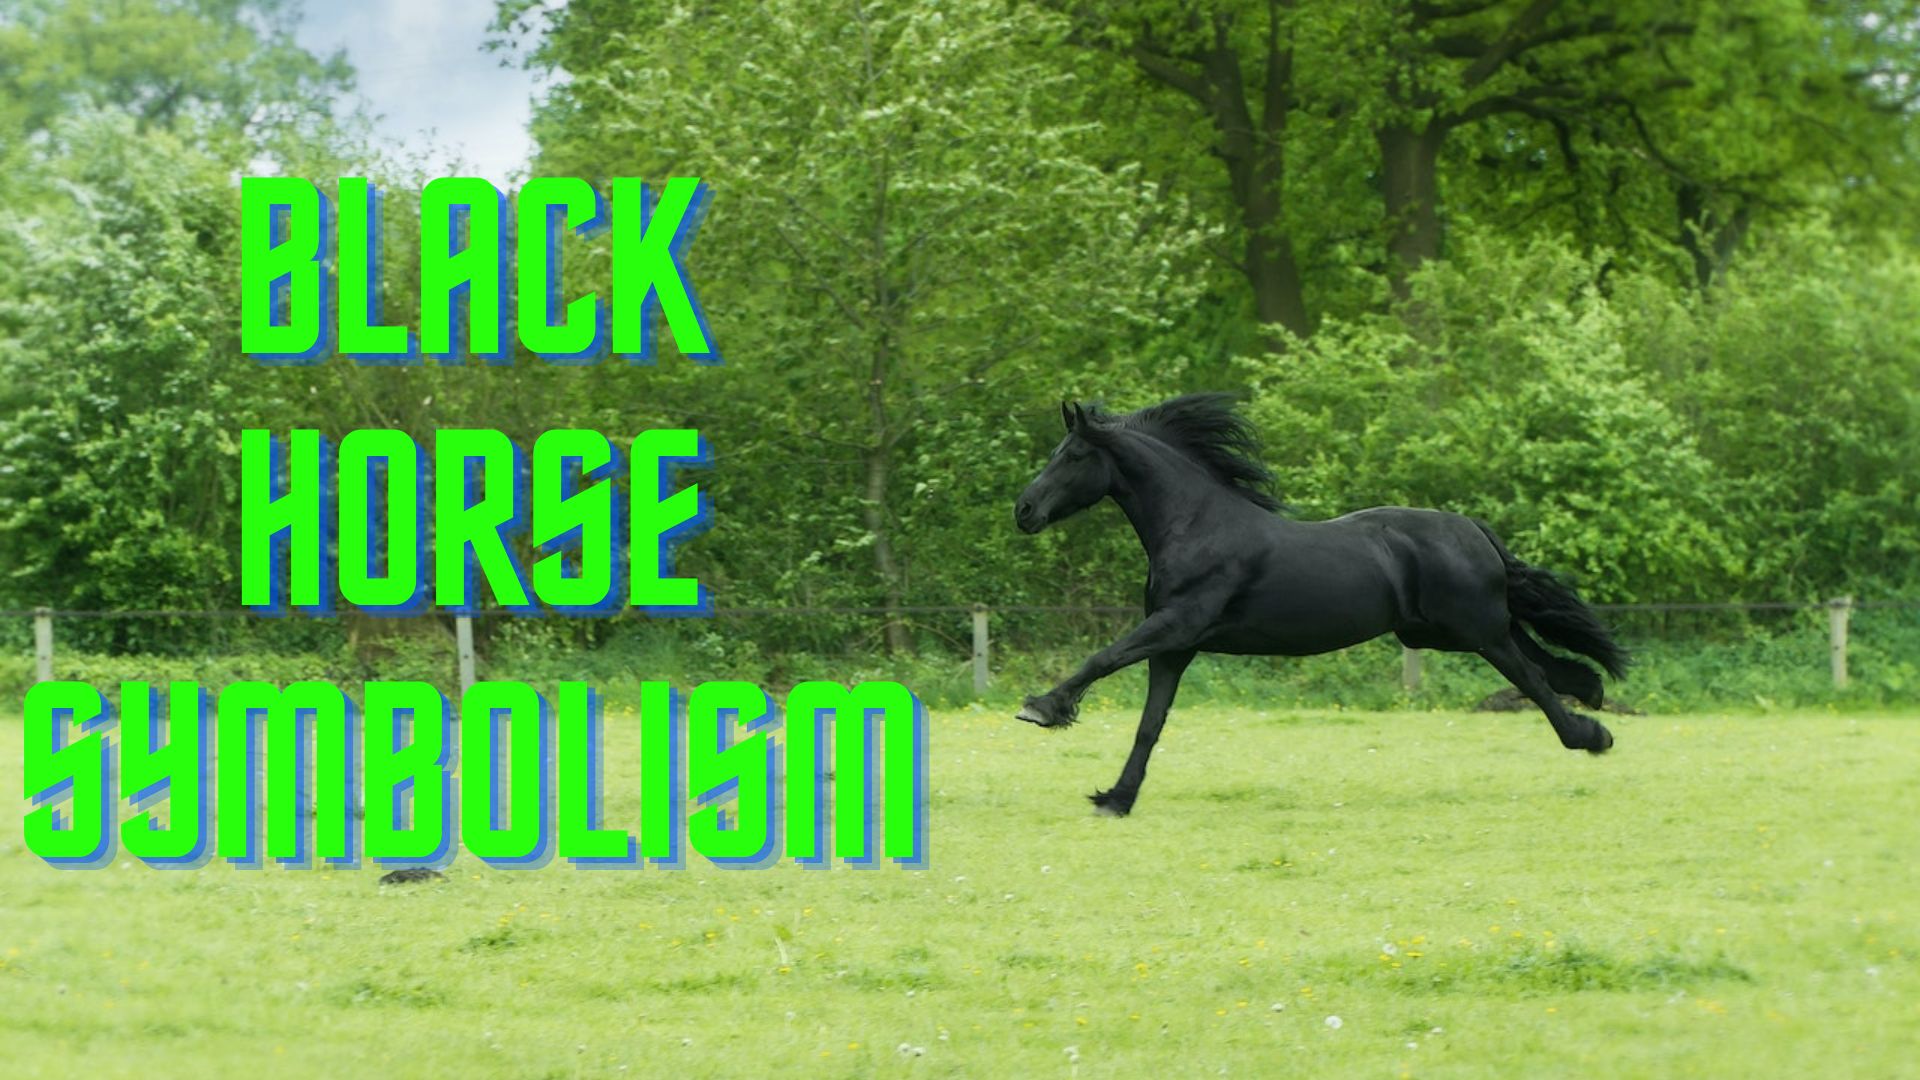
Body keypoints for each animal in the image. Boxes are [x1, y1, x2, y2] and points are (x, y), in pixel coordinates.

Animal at [1012, 393, 1629, 817]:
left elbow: (1103, 658)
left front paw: (1042, 708)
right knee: (1543, 661)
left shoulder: (1176, 624)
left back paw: (1590, 735)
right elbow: (1149, 724)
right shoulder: (1175, 647)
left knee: (1532, 676)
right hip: (1442, 631)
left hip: (1473, 629)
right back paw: (1592, 693)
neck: (1196, 525)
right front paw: (1116, 797)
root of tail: (1473, 528)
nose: (1023, 510)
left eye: (1072, 455)